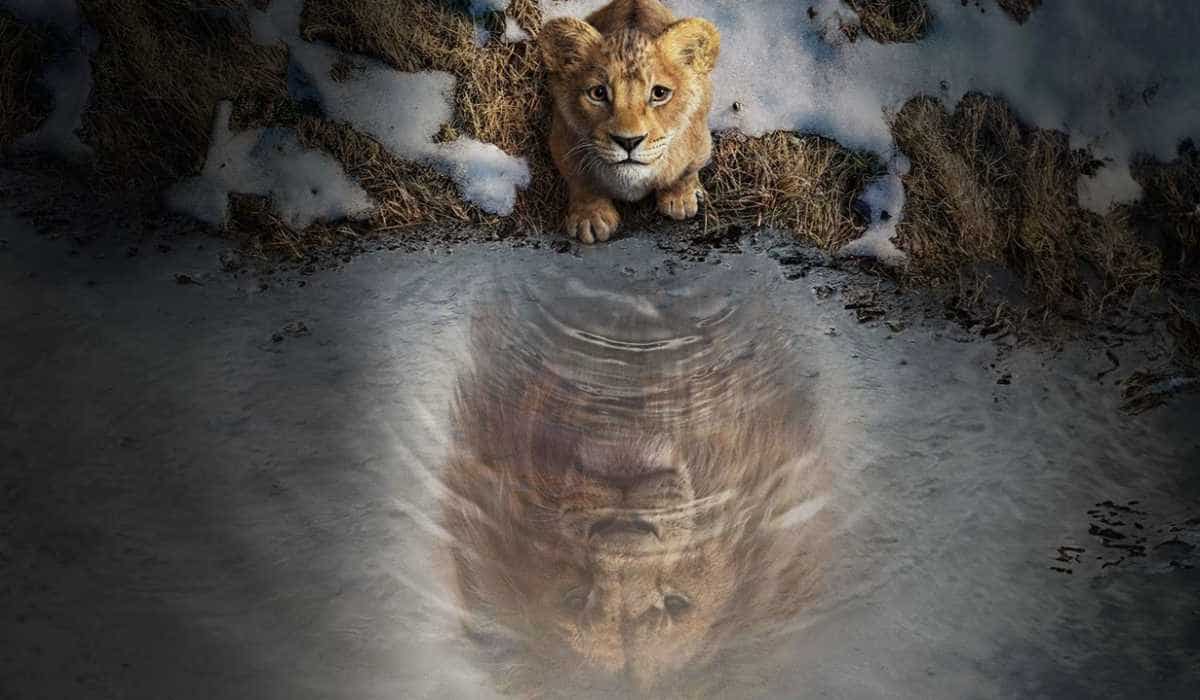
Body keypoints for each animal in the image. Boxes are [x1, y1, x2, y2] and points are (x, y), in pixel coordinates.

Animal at [538, 0, 721, 244]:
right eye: (598, 93)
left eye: (659, 93)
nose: (628, 141)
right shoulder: (562, 140)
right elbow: (581, 180)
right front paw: (591, 217)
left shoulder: (700, 141)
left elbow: (686, 171)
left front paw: (680, 198)